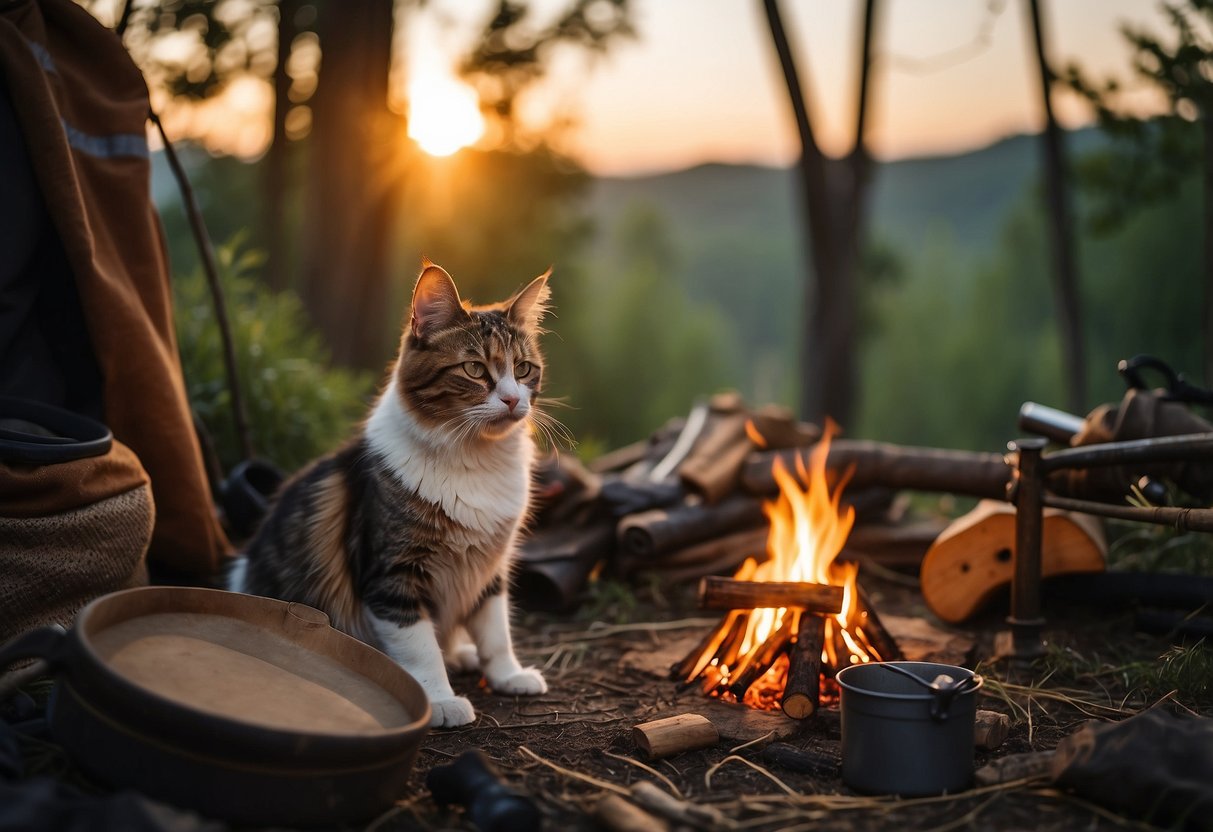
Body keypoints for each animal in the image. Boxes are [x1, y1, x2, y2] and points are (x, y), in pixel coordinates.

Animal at [229, 260, 555, 727]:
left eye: (524, 369)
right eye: (475, 370)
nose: (513, 400)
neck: (475, 461)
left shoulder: (490, 566)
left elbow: (496, 632)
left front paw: (508, 676)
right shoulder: (393, 575)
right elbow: (420, 649)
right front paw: (440, 701)